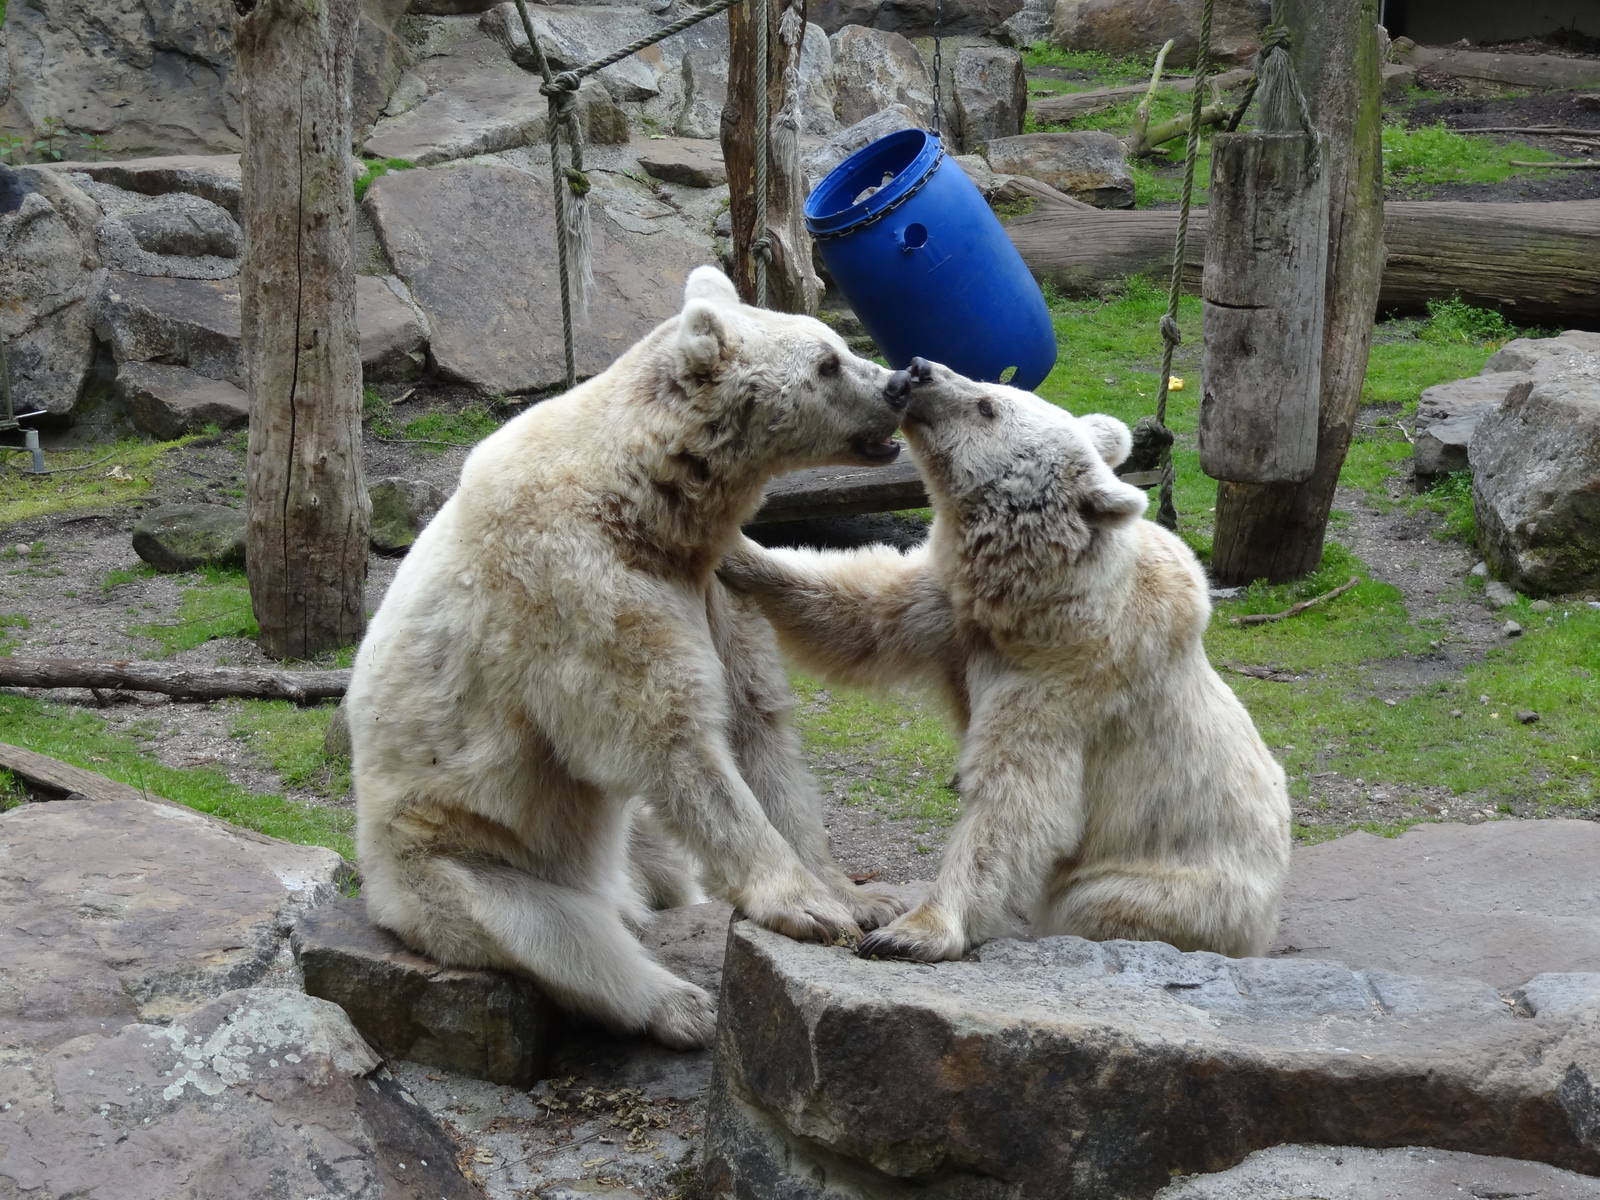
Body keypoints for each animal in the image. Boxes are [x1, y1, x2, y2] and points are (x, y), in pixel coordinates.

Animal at [346, 266, 911, 1049]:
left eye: (837, 343)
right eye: (828, 362)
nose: (899, 383)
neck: (643, 496)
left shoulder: (712, 584)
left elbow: (758, 726)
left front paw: (861, 898)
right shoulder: (578, 590)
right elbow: (669, 738)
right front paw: (806, 907)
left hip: (624, 838)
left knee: (658, 861)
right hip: (451, 853)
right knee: (551, 930)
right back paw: (680, 1004)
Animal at [717, 359, 1292, 962]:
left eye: (987, 405)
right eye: (988, 386)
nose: (919, 369)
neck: (1041, 598)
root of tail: (1263, 921)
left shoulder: (1068, 675)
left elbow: (1018, 796)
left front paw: (912, 931)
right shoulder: (955, 610)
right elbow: (860, 612)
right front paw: (732, 543)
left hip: (1171, 886)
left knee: (1095, 905)